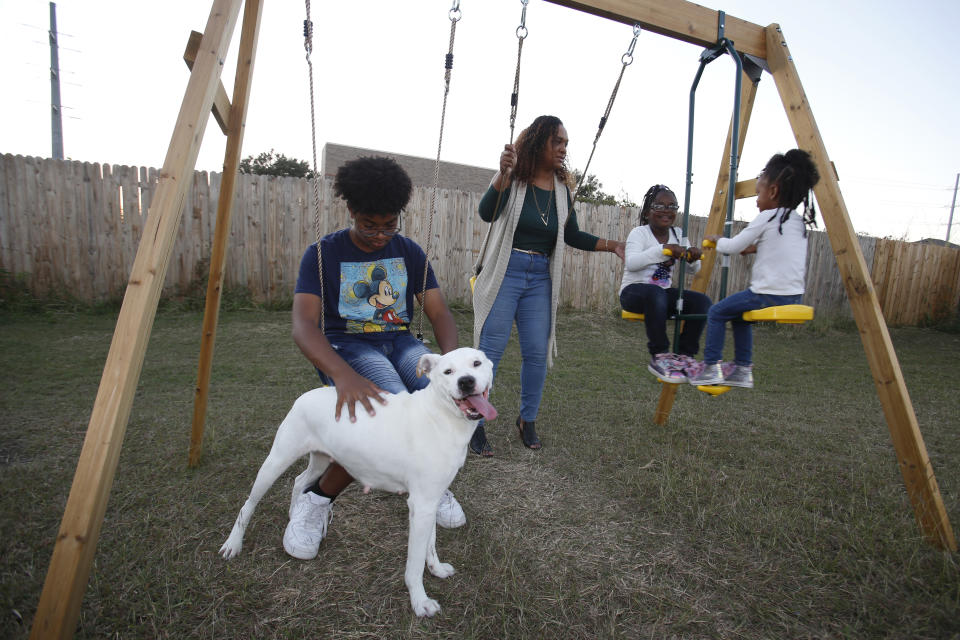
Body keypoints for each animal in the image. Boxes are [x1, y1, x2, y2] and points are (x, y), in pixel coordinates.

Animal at [220, 348, 498, 616]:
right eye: (448, 371)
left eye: (476, 363)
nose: (466, 382)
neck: (441, 417)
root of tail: (306, 395)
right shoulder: (421, 504)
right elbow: (415, 561)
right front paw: (420, 602)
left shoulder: (430, 501)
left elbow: (430, 544)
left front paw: (436, 569)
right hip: (278, 459)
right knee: (249, 504)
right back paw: (233, 544)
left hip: (321, 458)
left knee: (300, 481)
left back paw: (293, 515)